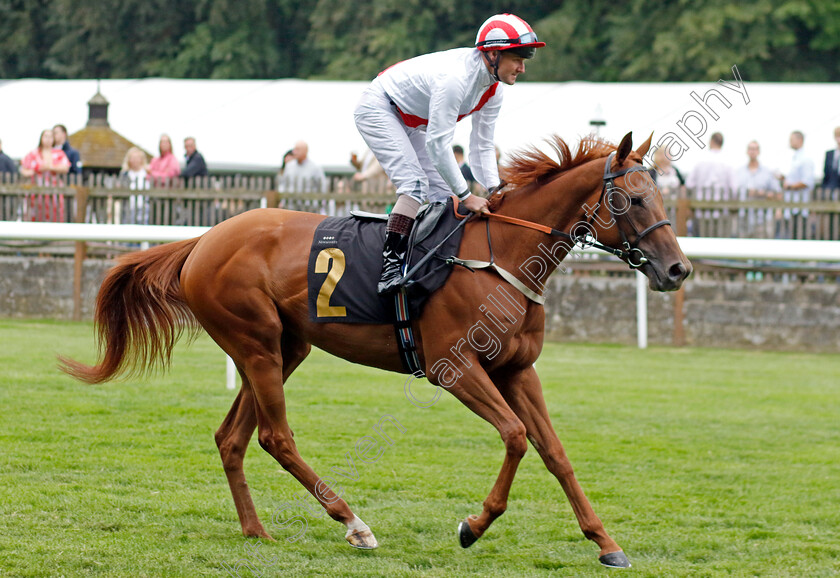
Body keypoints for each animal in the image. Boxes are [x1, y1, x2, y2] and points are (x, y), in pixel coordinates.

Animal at [59, 132, 688, 568]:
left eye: (661, 194)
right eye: (633, 199)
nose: (678, 270)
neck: (501, 256)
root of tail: (204, 238)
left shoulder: (517, 370)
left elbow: (554, 451)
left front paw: (606, 542)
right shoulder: (454, 367)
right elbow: (514, 436)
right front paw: (473, 525)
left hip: (284, 347)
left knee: (232, 437)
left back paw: (256, 530)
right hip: (256, 344)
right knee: (275, 436)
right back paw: (353, 522)